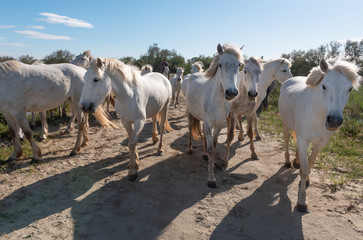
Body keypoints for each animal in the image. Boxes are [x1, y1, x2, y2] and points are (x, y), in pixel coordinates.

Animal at [186, 43, 243, 188]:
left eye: (239, 65)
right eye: (220, 64)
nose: (231, 92)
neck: (217, 99)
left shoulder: (219, 123)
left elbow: (215, 145)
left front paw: (209, 164)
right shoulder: (208, 123)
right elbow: (212, 149)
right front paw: (211, 178)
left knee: (202, 133)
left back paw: (204, 154)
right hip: (191, 114)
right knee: (190, 129)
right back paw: (189, 149)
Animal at [278, 59, 362, 212]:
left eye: (349, 89)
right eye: (324, 86)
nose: (334, 121)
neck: (318, 113)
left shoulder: (321, 143)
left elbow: (310, 162)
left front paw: (306, 180)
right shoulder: (303, 140)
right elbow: (305, 170)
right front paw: (302, 202)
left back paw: (296, 161)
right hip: (285, 123)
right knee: (286, 140)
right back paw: (287, 162)